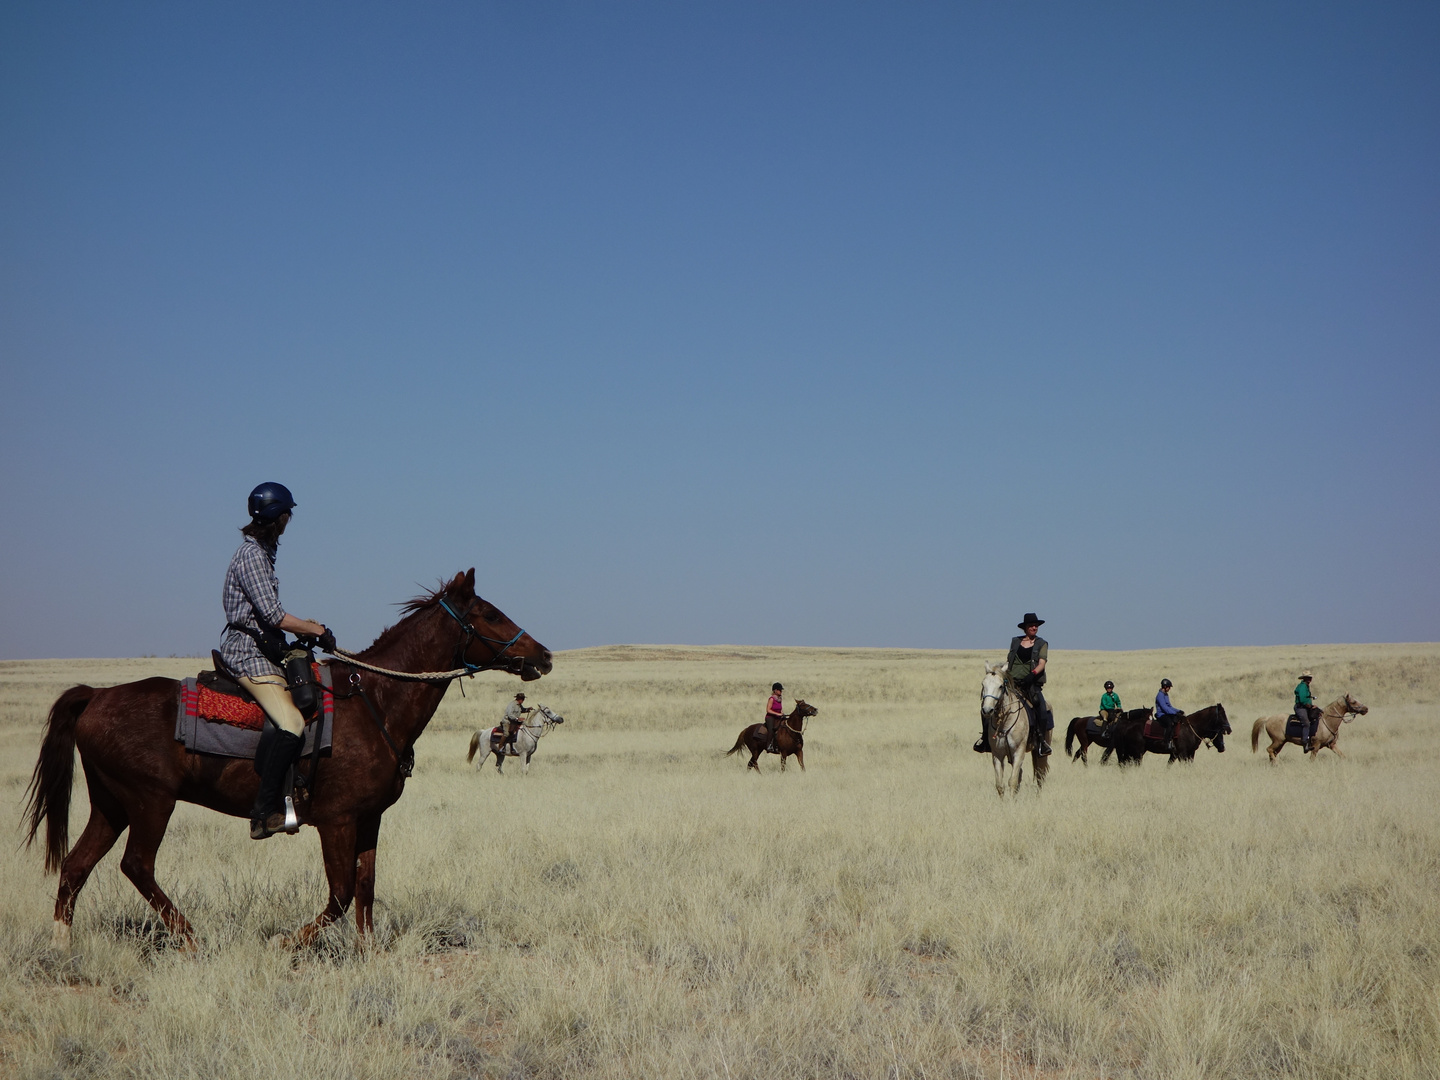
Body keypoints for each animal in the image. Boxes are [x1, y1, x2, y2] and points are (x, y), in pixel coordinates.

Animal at [22, 570, 550, 950]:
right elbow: (341, 893)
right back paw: (192, 939)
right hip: (150, 802)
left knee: (75, 867)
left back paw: (64, 948)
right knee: (136, 865)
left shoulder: (369, 819)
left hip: (110, 805)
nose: (543, 656)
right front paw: (287, 942)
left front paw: (367, 954)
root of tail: (96, 697)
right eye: (489, 613)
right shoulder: (337, 821)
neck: (376, 702)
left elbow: (366, 887)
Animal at [979, 659, 1048, 794]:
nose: (987, 710)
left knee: (1040, 775)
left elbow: (1013, 781)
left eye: (1001, 686)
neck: (1004, 722)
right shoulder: (997, 754)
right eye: (983, 684)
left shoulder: (1019, 752)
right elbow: (1000, 785)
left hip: (1041, 752)